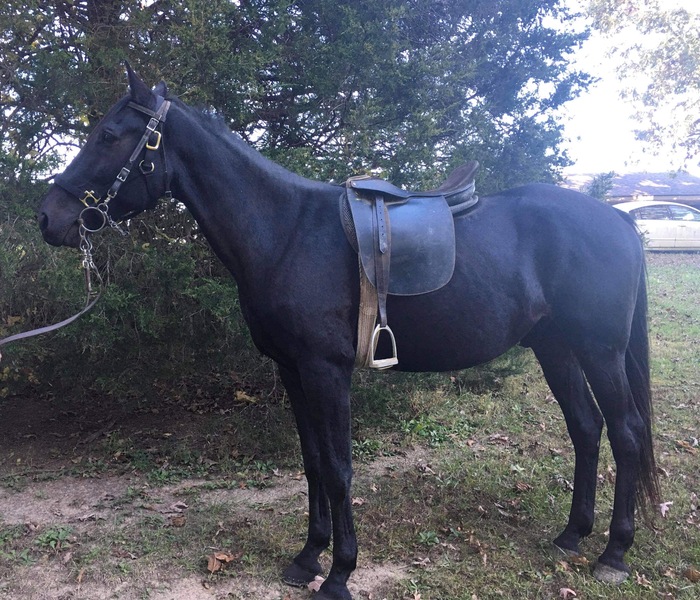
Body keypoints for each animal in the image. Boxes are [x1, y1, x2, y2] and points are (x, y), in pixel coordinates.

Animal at [38, 66, 659, 599]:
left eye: (110, 135)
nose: (49, 218)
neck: (286, 232)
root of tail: (618, 217)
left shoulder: (326, 371)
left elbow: (338, 468)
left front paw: (339, 573)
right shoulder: (292, 371)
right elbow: (313, 462)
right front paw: (306, 557)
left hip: (600, 352)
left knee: (625, 433)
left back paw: (614, 554)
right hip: (557, 348)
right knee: (586, 428)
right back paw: (572, 536)